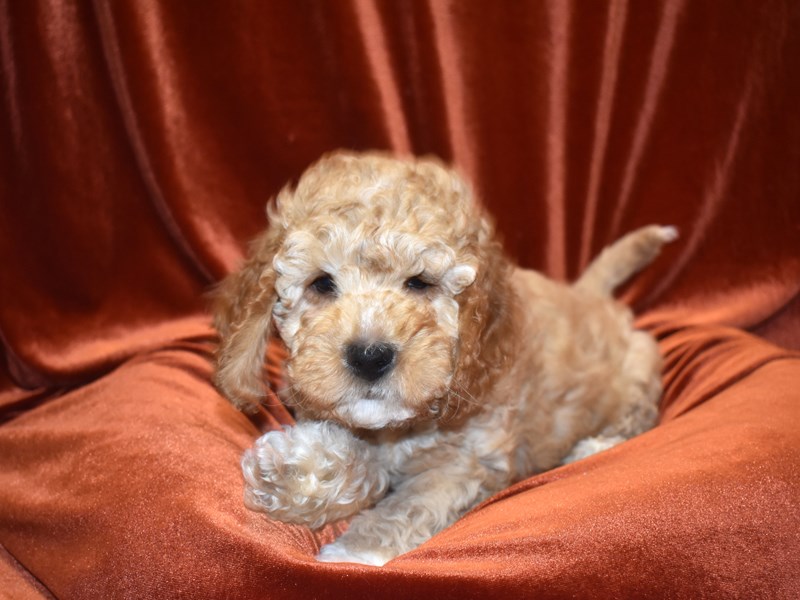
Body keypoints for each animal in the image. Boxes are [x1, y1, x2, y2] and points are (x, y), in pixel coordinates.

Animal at [212, 151, 676, 568]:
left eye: (420, 283)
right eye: (321, 284)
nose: (370, 356)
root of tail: (589, 292)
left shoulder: (470, 461)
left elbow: (413, 501)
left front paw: (354, 551)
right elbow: (364, 467)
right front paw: (293, 471)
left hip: (638, 373)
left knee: (636, 416)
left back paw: (593, 447)